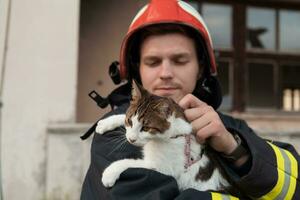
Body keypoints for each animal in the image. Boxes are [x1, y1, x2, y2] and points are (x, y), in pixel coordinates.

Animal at [97, 80, 231, 193]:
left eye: (146, 128)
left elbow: (131, 162)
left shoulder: (163, 168)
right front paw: (106, 122)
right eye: (130, 121)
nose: (131, 139)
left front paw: (110, 172)